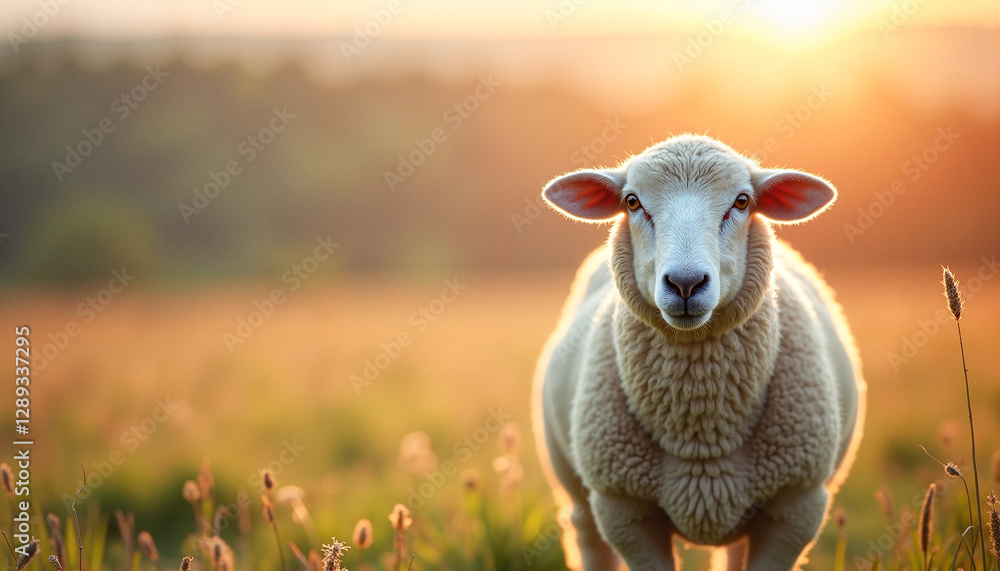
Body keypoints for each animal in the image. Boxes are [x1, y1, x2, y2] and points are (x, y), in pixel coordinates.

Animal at [531, 134, 865, 571]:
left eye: (742, 201)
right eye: (632, 202)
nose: (685, 283)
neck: (701, 430)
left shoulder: (795, 507)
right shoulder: (624, 510)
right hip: (578, 491)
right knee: (589, 540)